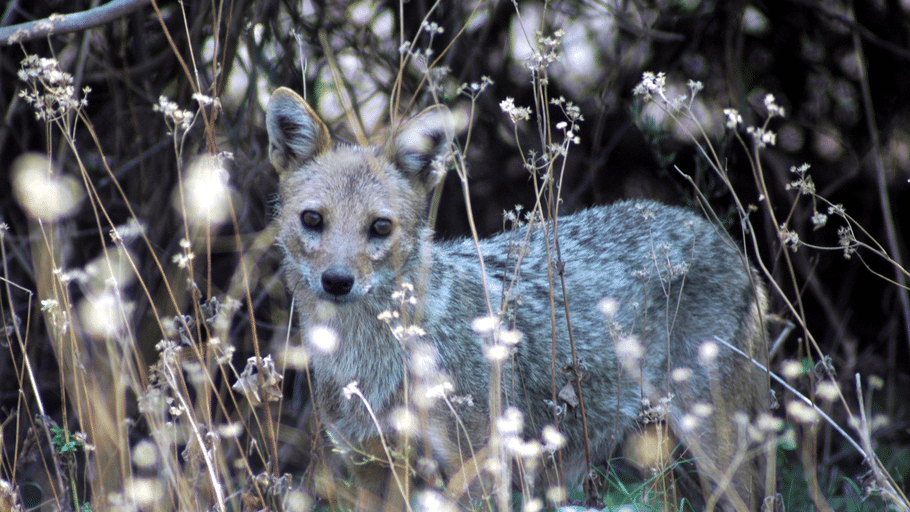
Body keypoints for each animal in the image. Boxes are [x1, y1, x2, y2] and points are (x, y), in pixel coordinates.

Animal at [265, 86, 772, 511]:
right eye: (313, 220)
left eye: (380, 227)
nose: (337, 281)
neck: (368, 362)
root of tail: (722, 238)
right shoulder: (371, 467)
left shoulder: (477, 470)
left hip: (714, 453)